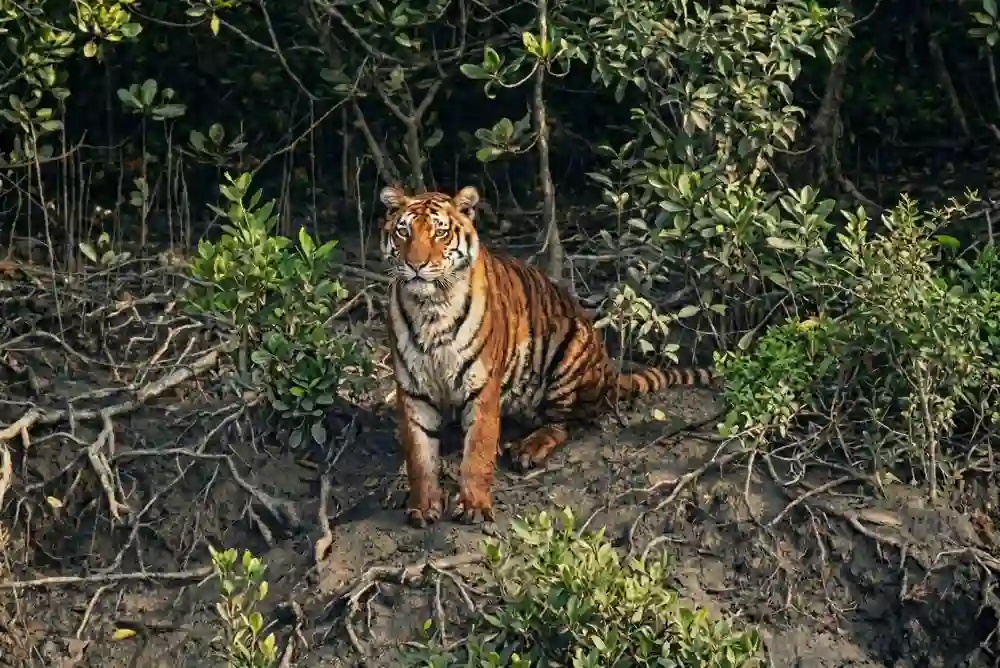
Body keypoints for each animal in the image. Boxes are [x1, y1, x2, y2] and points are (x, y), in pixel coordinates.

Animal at [380, 184, 717, 527]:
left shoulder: (483, 385)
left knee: (567, 423)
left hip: (569, 354)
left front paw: (474, 506)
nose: (416, 265)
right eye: (403, 231)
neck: (431, 309)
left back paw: (528, 448)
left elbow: (477, 451)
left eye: (440, 232)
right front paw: (424, 506)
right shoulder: (412, 389)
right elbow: (420, 456)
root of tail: (609, 373)